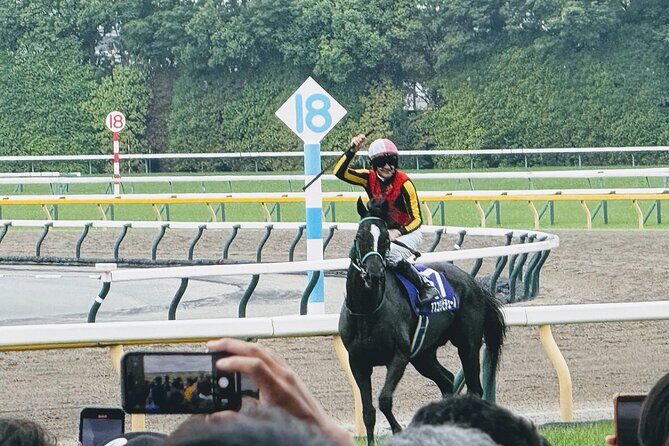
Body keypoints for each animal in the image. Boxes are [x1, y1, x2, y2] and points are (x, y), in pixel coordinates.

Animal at [339, 198, 506, 445]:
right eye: (360, 236)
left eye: (386, 238)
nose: (374, 274)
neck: (368, 310)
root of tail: (474, 283)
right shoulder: (358, 362)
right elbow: (368, 411)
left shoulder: (399, 356)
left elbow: (384, 400)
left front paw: (398, 430)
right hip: (423, 355)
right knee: (447, 381)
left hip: (468, 345)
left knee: (475, 389)